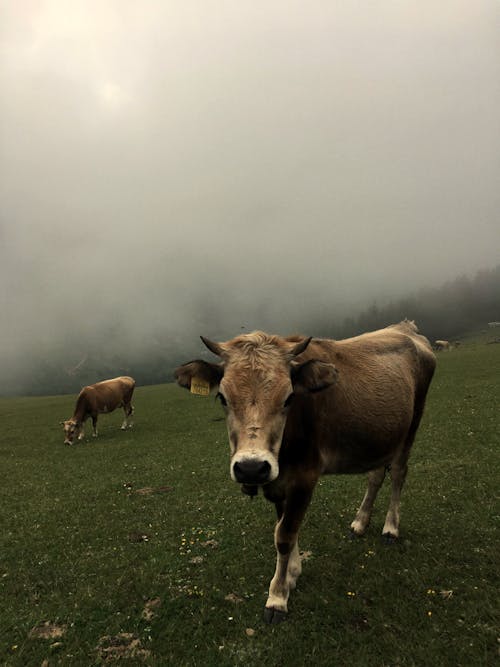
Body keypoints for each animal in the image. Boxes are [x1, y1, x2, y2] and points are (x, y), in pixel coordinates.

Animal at [175, 320, 434, 624]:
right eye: (222, 397)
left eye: (289, 398)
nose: (251, 467)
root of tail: (405, 327)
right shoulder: (278, 480)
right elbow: (283, 526)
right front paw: (292, 574)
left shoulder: (305, 478)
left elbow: (285, 535)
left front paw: (277, 597)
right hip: (380, 437)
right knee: (375, 476)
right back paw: (360, 522)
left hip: (412, 425)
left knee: (398, 474)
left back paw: (391, 527)